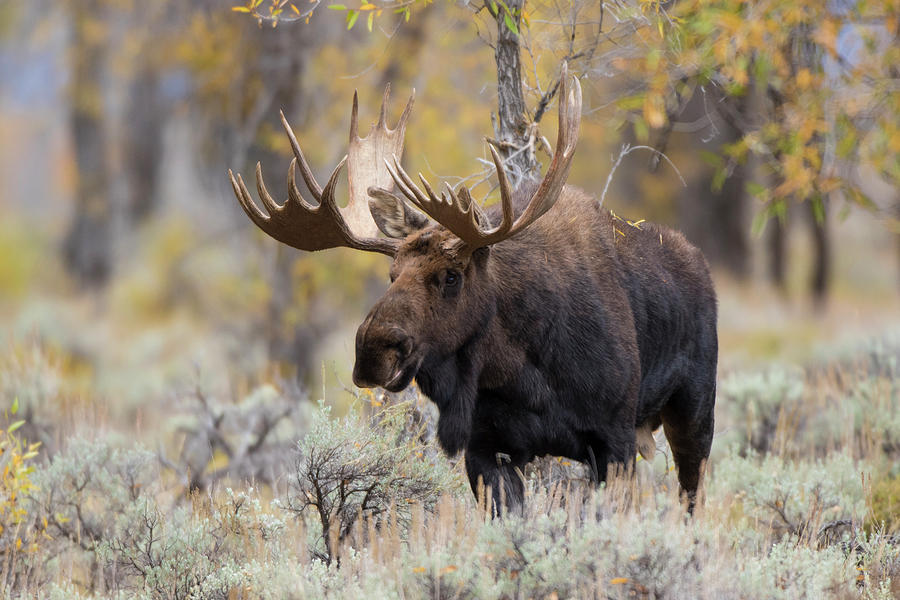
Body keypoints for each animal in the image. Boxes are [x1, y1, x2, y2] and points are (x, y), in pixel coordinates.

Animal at [230, 67, 716, 516]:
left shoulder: (613, 440)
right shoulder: (485, 449)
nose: (372, 351)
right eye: (392, 273)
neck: (523, 371)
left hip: (694, 410)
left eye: (451, 276)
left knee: (692, 500)